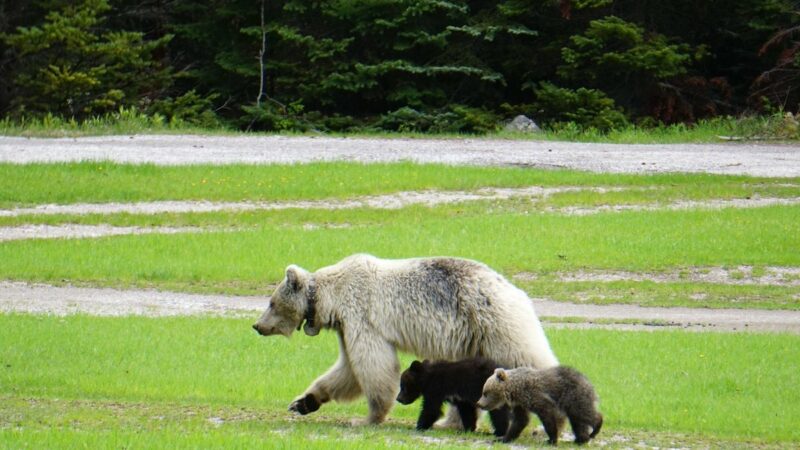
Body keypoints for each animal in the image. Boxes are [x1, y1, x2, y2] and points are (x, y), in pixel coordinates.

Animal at [253, 253, 560, 426]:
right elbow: (347, 370)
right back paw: (451, 422)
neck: (332, 298)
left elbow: (373, 365)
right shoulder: (345, 327)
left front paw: (367, 417)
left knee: (528, 358)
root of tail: (517, 291)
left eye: (271, 302)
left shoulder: (362, 317)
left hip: (496, 325)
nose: (257, 326)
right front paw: (303, 402)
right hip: (475, 340)